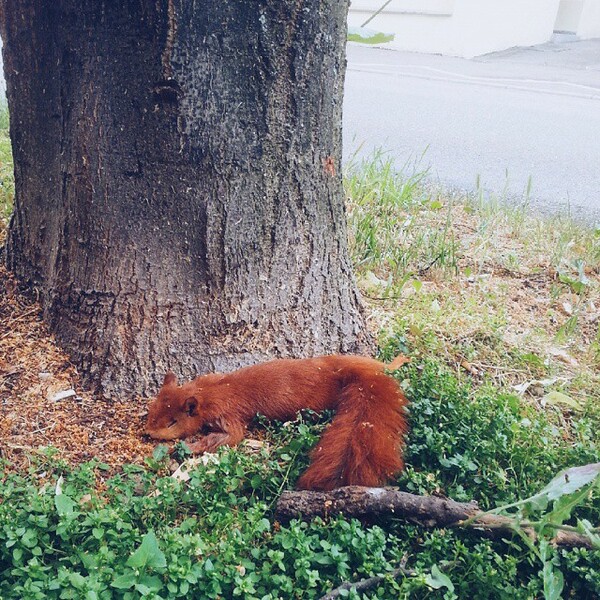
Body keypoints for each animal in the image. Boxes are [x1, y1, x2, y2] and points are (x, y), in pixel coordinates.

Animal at [146, 354, 408, 490]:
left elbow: (232, 435)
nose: (148, 433)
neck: (208, 391)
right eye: (151, 410)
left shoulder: (227, 413)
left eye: (172, 423)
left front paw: (188, 446)